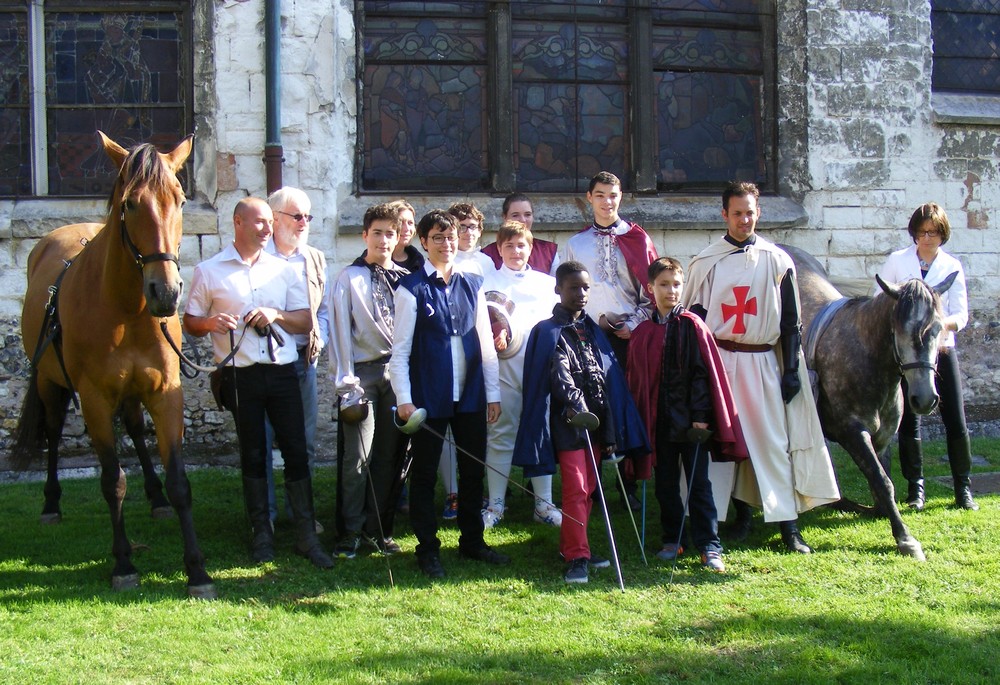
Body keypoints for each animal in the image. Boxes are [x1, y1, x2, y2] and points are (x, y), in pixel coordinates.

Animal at [12, 131, 217, 596]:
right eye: (129, 203)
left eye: (180, 200)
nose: (166, 292)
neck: (127, 310)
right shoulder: (95, 400)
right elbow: (112, 481)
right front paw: (123, 564)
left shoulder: (165, 393)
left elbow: (180, 482)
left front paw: (197, 569)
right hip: (52, 384)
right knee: (53, 432)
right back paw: (51, 503)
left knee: (138, 432)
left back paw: (156, 498)